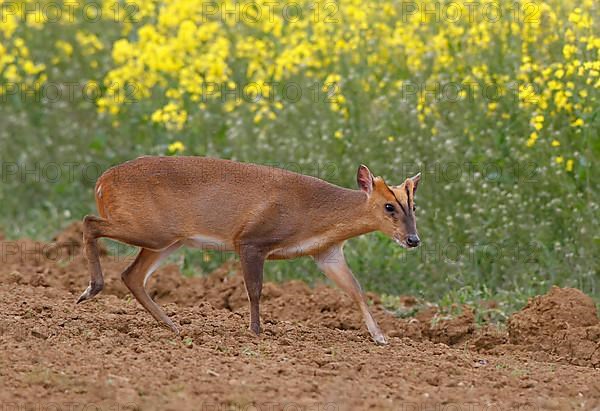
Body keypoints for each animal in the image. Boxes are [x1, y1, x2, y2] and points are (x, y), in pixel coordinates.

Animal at [77, 156, 420, 346]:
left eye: (413, 206)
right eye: (389, 206)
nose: (413, 240)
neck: (313, 215)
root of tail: (102, 181)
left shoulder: (327, 253)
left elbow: (357, 290)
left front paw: (380, 337)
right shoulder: (251, 240)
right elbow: (254, 289)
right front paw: (256, 331)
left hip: (169, 239)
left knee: (132, 275)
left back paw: (172, 325)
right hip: (151, 229)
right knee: (90, 223)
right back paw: (91, 289)